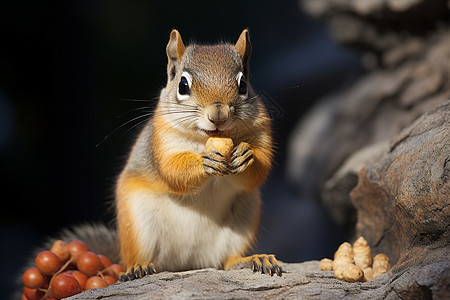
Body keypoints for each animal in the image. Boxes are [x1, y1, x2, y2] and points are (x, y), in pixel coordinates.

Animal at [20, 29, 282, 290]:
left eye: (243, 84)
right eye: (183, 85)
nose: (217, 115)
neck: (205, 138)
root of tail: (187, 263)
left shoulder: (262, 130)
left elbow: (259, 171)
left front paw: (246, 156)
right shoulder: (160, 140)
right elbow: (172, 171)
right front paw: (203, 162)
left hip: (243, 218)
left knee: (227, 260)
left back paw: (252, 260)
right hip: (139, 223)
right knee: (141, 257)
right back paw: (139, 268)